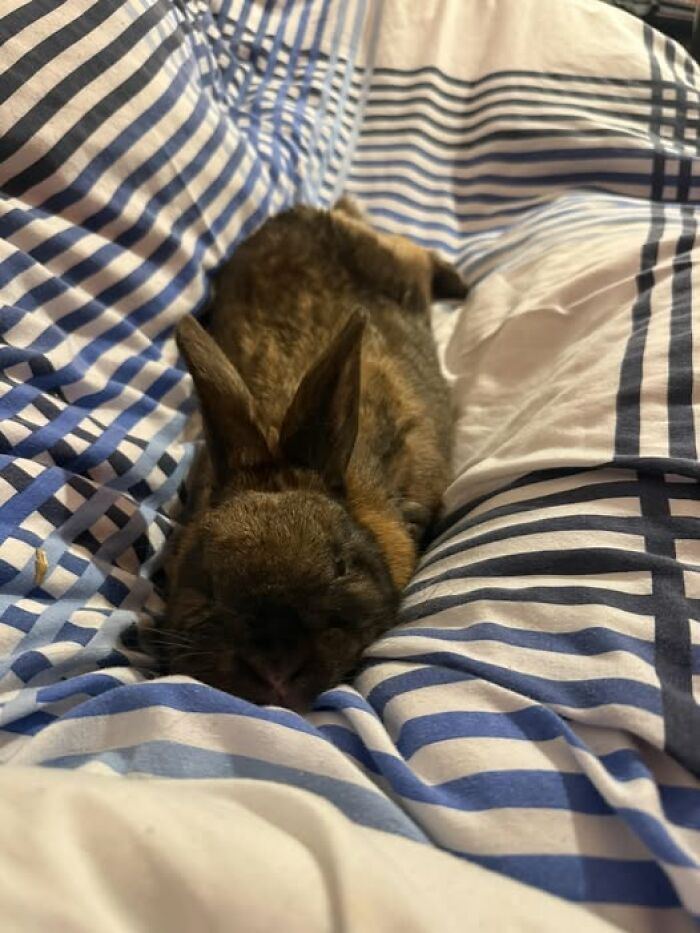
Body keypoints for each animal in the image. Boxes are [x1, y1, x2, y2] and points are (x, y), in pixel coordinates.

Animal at [161, 198, 467, 712]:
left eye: (341, 567)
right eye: (207, 583)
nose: (276, 668)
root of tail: (307, 211)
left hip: (400, 264)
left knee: (416, 252)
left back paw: (460, 283)